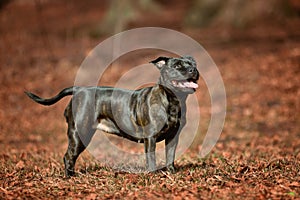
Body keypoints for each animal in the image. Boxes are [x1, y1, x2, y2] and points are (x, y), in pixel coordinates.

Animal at [25, 55, 199, 177]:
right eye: (177, 66)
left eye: (193, 64)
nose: (193, 71)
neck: (174, 100)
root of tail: (79, 89)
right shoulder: (150, 138)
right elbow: (151, 159)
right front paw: (152, 175)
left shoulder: (173, 136)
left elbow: (170, 156)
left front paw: (171, 173)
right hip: (79, 134)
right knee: (69, 156)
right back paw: (70, 177)